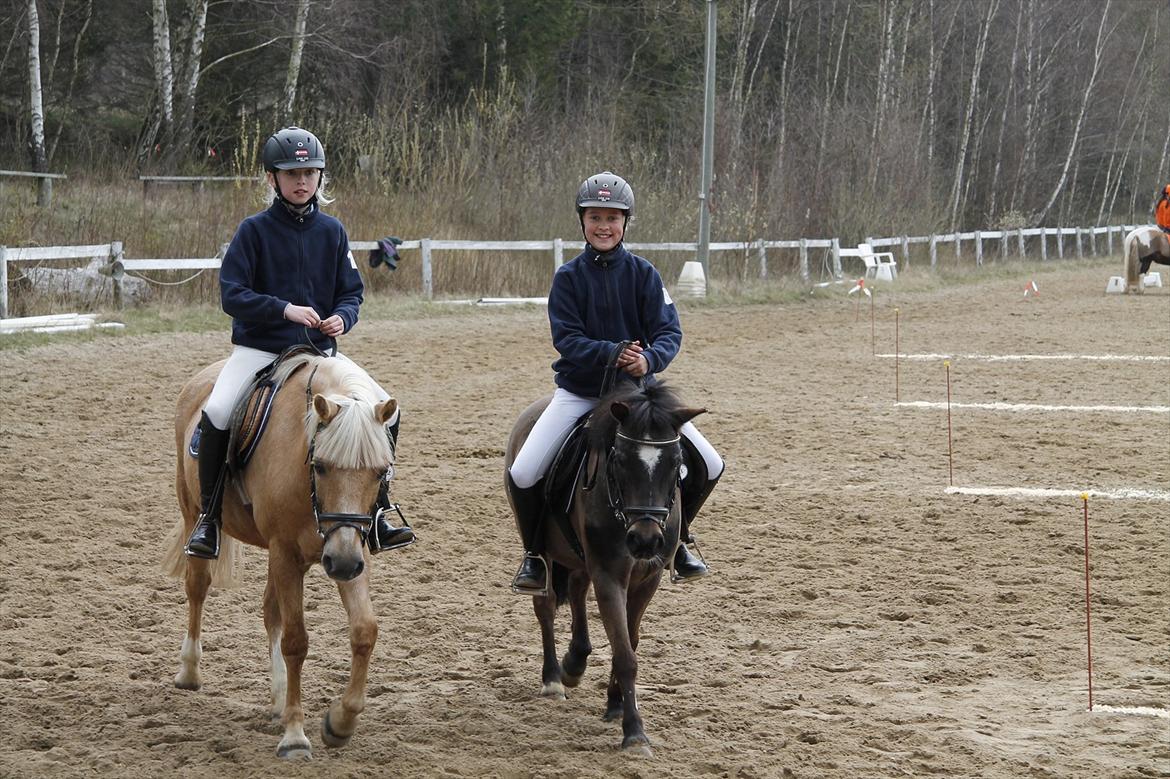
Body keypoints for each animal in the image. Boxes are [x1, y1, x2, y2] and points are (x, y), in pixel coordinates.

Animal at [162, 351, 397, 759]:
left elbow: (364, 629)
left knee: (270, 610)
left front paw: (340, 722)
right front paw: (294, 736)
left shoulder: (350, 549)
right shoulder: (287, 552)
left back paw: (278, 696)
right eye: (320, 466)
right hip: (193, 512)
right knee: (198, 587)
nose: (342, 563)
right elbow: (296, 641)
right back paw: (189, 671)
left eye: (381, 471)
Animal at [505, 380, 705, 755]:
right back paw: (553, 679)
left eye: (677, 463)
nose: (645, 541)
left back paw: (575, 661)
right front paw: (634, 733)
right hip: (546, 552)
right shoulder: (610, 575)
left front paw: (615, 704)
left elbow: (629, 640)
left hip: (580, 559)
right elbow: (624, 652)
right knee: (545, 605)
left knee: (577, 590)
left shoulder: (647, 579)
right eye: (621, 460)